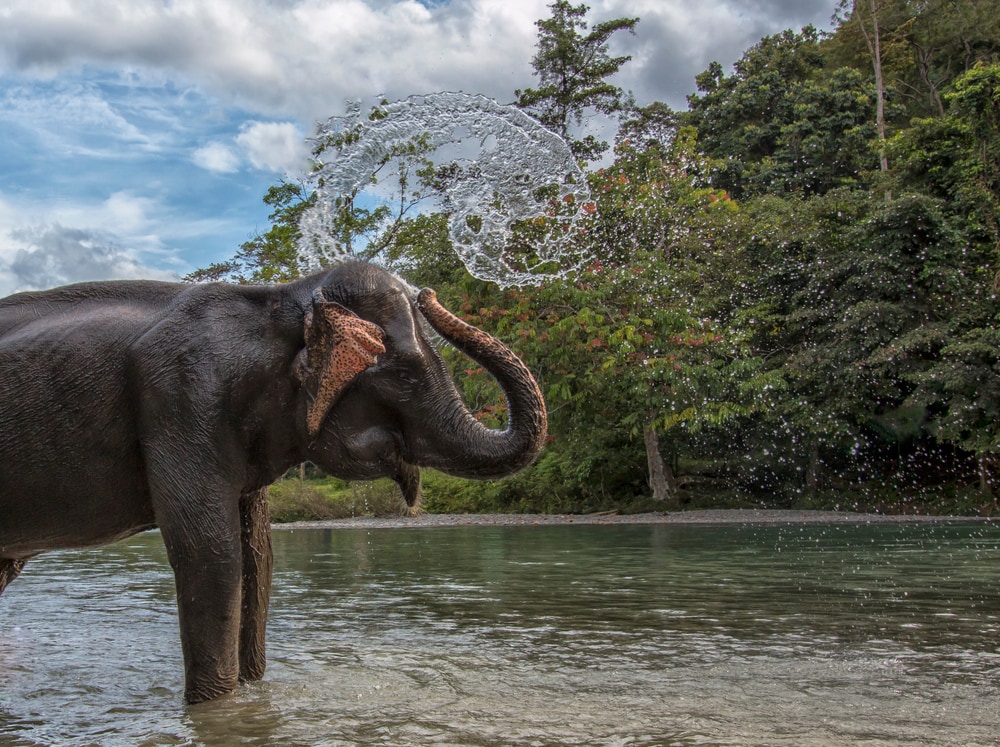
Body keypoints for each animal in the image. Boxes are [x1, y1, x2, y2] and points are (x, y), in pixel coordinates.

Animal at [0, 260, 548, 704]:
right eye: (406, 375)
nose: (430, 293)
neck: (279, 302)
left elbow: (259, 557)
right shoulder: (182, 397)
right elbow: (211, 553)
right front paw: (214, 707)